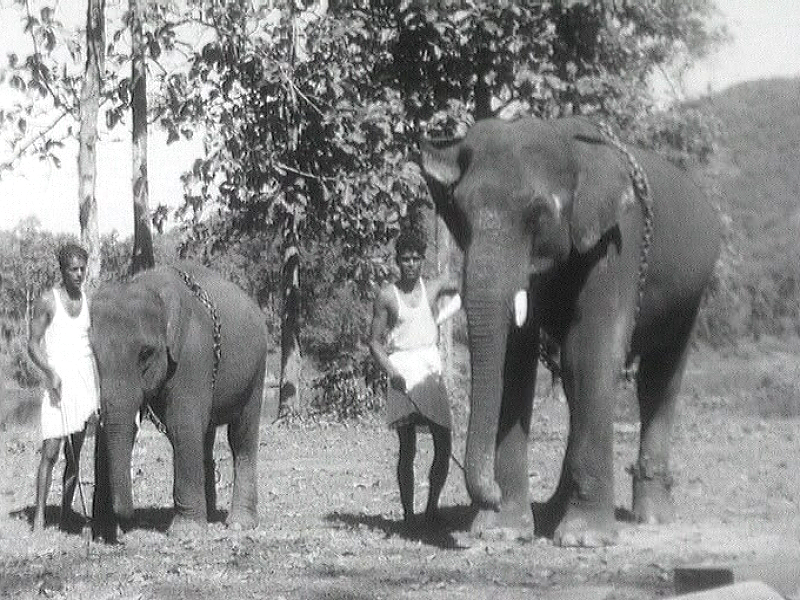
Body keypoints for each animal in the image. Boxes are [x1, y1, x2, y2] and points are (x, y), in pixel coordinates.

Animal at [89, 262, 268, 540]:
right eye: (93, 352)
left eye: (145, 353)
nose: (126, 524)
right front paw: (101, 534)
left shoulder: (193, 353)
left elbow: (181, 424)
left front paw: (186, 532)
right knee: (205, 435)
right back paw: (211, 514)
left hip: (257, 370)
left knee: (241, 436)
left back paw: (239, 524)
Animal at [422, 117, 720, 548]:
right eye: (459, 214)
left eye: (537, 214)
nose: (490, 494)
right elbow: (516, 362)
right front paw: (502, 531)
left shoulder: (616, 246)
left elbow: (591, 354)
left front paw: (584, 539)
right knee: (575, 385)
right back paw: (555, 508)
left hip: (691, 295)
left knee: (658, 379)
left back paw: (651, 517)